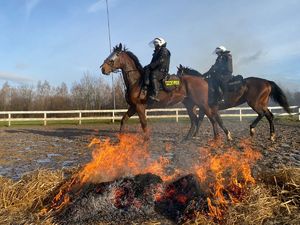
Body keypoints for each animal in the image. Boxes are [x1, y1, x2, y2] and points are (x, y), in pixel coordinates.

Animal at [100, 44, 232, 141]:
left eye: (115, 55)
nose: (103, 68)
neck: (136, 81)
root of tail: (203, 80)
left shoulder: (139, 107)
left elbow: (144, 124)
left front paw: (146, 139)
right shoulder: (133, 107)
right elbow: (124, 120)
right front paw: (120, 137)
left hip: (202, 104)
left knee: (212, 118)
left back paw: (217, 137)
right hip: (189, 104)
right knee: (195, 120)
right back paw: (187, 138)